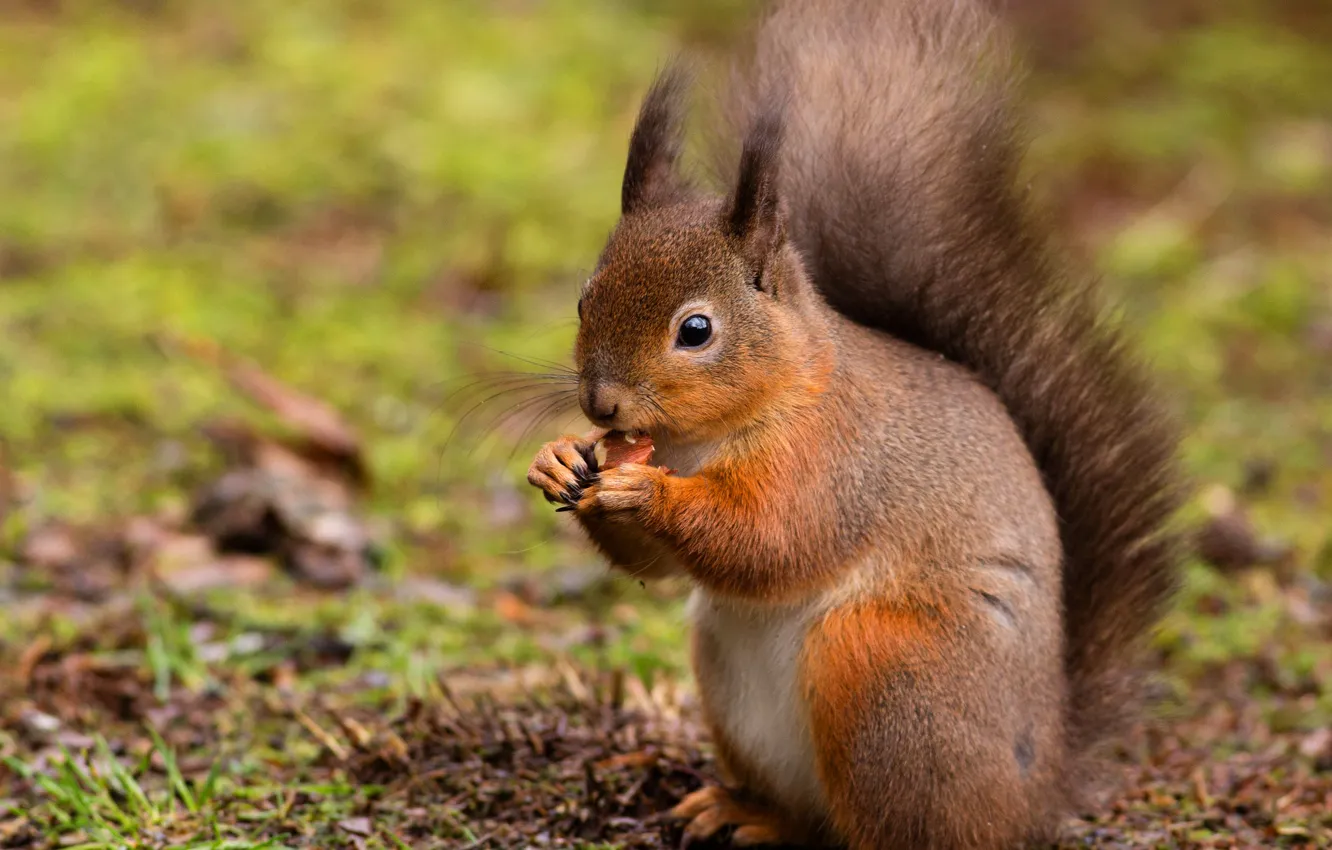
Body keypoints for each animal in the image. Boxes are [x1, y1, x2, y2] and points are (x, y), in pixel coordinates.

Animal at [525, 0, 1184, 847]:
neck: (705, 437)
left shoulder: (834, 462)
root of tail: (1035, 791)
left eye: (696, 330)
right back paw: (745, 812)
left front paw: (649, 494)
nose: (601, 405)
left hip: (885, 674)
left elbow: (771, 540)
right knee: (808, 817)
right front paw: (557, 460)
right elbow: (657, 564)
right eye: (583, 300)